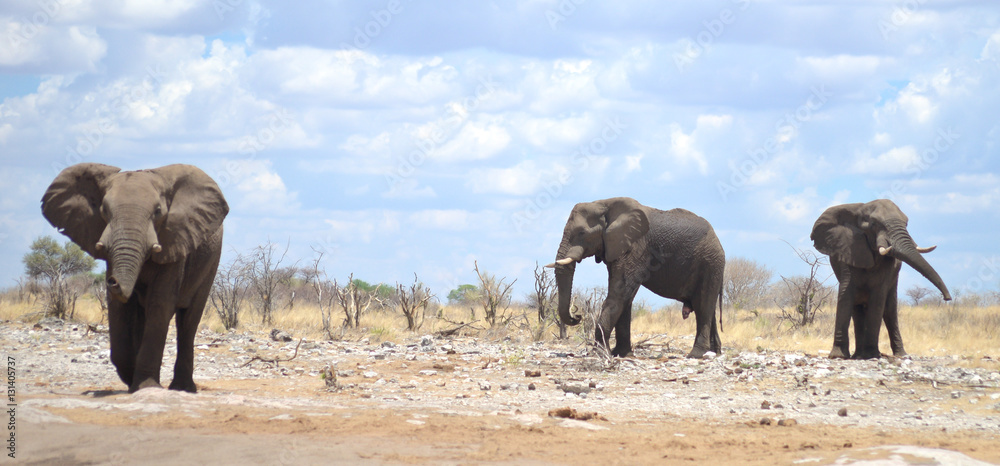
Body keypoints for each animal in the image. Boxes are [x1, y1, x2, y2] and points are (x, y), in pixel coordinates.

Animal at [41, 163, 228, 393]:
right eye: (104, 210)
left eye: (158, 212)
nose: (112, 281)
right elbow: (119, 309)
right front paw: (133, 382)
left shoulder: (175, 241)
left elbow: (160, 304)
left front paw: (146, 386)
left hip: (210, 262)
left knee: (188, 320)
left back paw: (182, 388)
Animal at [546, 197, 725, 358]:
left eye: (582, 233)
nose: (577, 316)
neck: (604, 204)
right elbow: (625, 298)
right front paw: (621, 354)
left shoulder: (636, 247)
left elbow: (619, 293)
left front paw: (600, 354)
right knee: (708, 309)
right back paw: (713, 353)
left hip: (710, 263)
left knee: (703, 307)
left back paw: (695, 355)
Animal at [811, 199, 950, 360]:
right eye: (874, 224)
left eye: (907, 223)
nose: (947, 298)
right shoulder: (847, 250)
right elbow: (846, 294)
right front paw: (838, 356)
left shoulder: (888, 266)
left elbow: (878, 298)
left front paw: (871, 355)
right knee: (858, 308)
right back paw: (858, 355)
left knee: (889, 311)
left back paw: (899, 355)